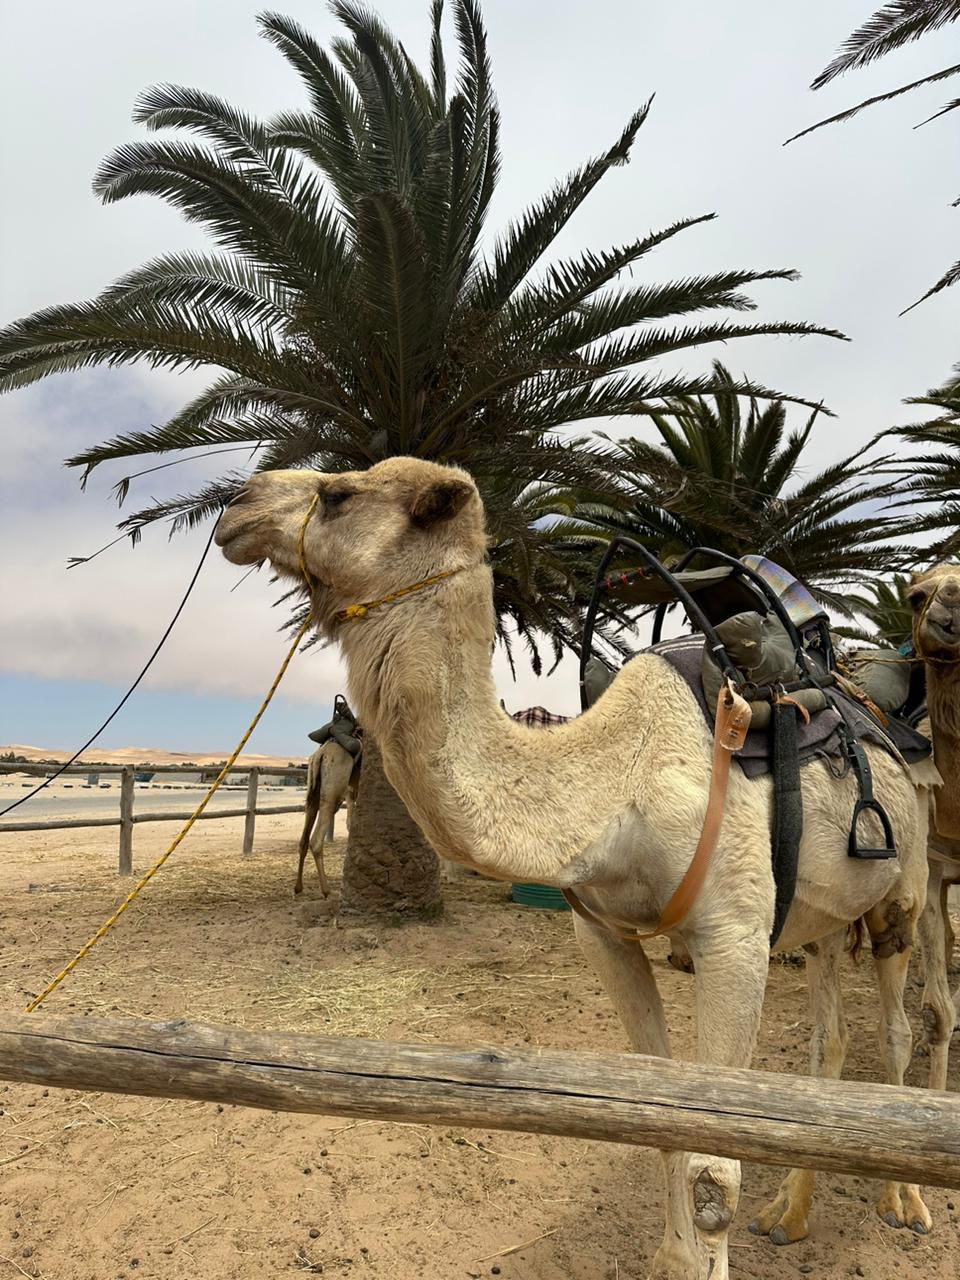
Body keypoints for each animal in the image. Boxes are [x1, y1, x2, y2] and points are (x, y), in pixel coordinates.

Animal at [296, 740, 359, 896]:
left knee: (304, 840)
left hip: (314, 792)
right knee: (316, 840)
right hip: (333, 792)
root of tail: (320, 754)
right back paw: (326, 890)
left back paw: (298, 887)